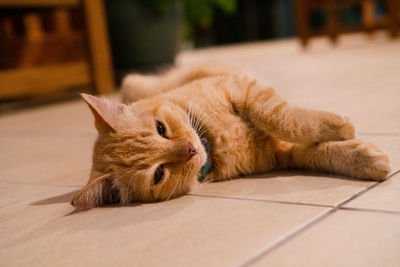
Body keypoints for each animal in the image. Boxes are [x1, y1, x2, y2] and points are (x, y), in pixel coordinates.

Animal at [71, 64, 390, 209]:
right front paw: (364, 155)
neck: (213, 140)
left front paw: (342, 129)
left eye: (161, 129)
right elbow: (317, 149)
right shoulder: (282, 152)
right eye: (158, 174)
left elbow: (283, 118)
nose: (190, 149)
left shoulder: (242, 89)